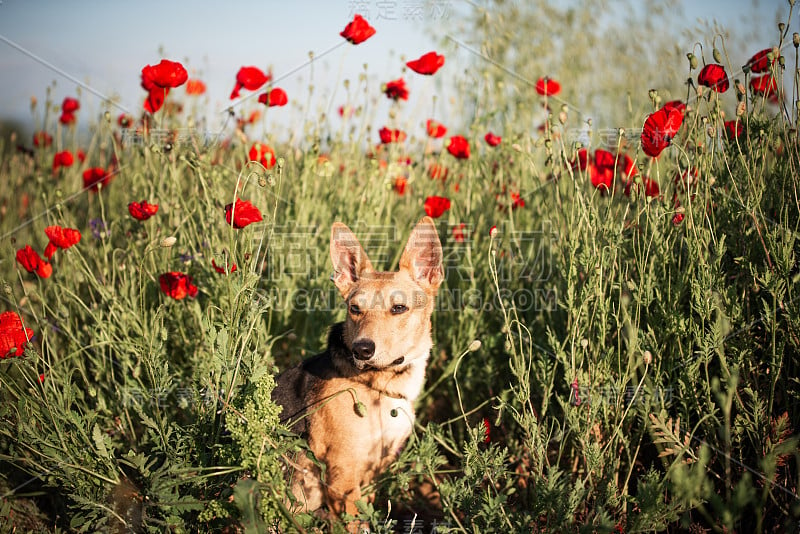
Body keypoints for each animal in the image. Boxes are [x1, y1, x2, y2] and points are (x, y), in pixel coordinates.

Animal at [270, 217, 444, 520]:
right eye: (354, 308)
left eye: (399, 308)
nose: (362, 349)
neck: (379, 386)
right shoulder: (343, 475)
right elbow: (356, 521)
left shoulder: (373, 471)